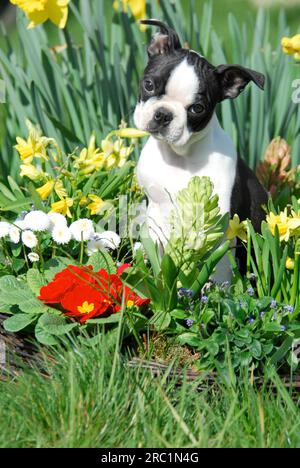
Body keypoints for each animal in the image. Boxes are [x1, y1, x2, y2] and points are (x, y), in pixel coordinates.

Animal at [134, 19, 268, 282]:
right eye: (149, 85)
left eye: (197, 108)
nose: (163, 114)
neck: (177, 156)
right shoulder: (154, 211)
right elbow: (158, 254)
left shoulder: (220, 227)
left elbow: (219, 269)